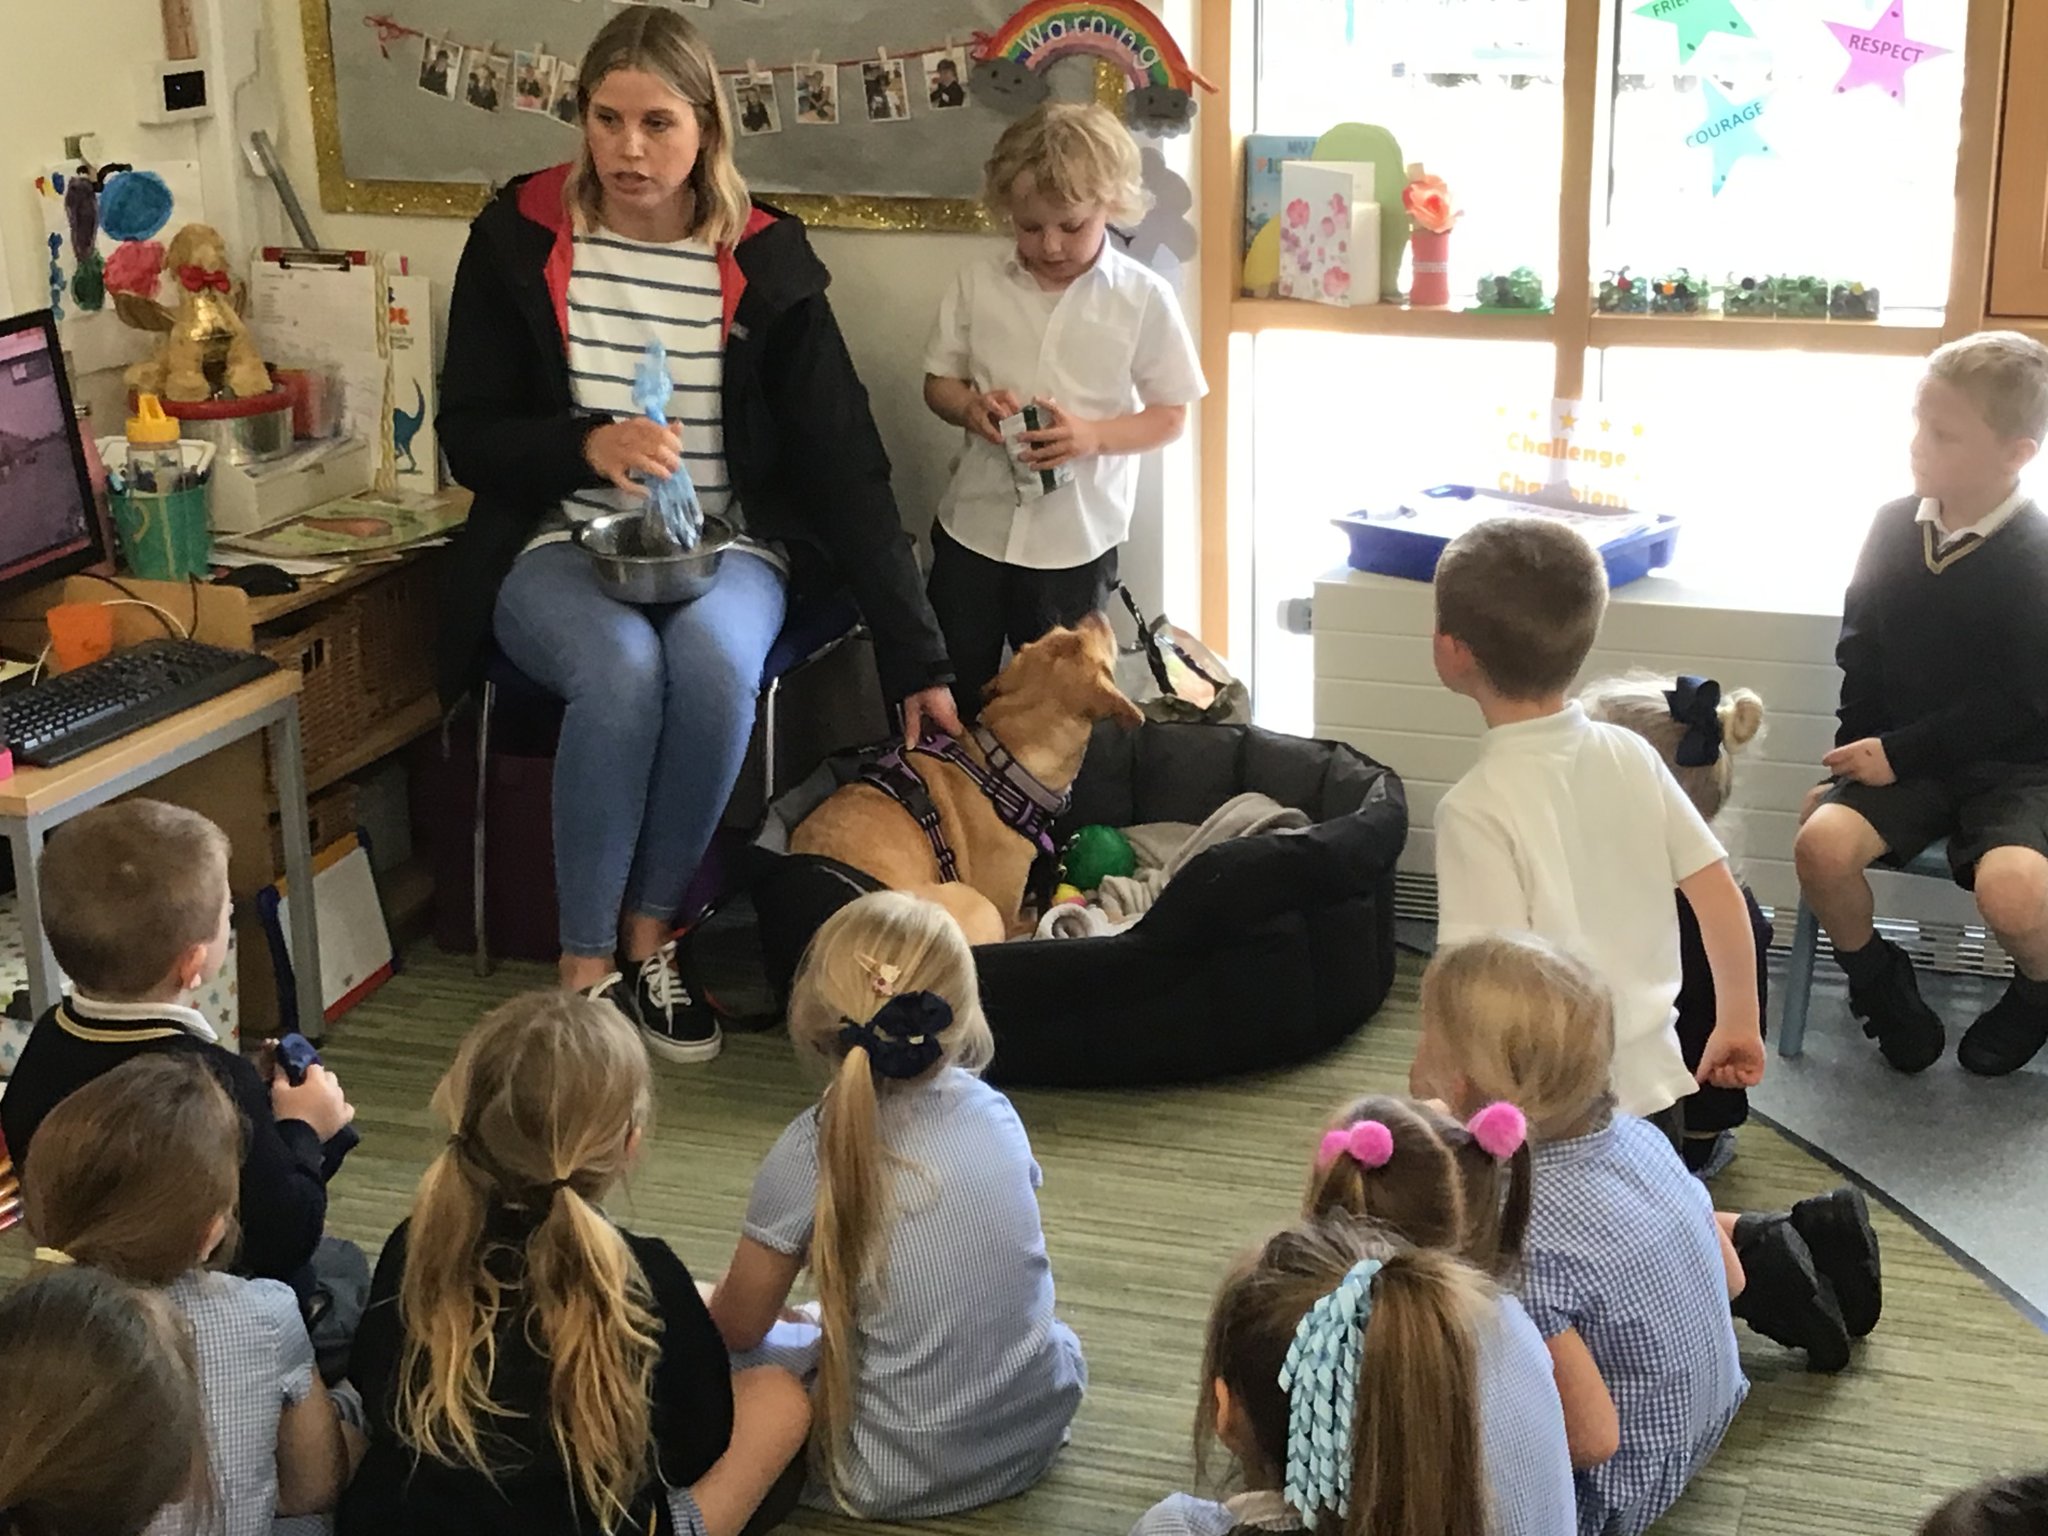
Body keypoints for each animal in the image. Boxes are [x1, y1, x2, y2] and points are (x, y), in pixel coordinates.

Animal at [786, 614, 1146, 950]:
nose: (1096, 614)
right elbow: (1041, 914)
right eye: (1094, 646)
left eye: (1061, 633)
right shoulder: (1009, 916)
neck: (1002, 764)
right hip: (980, 907)